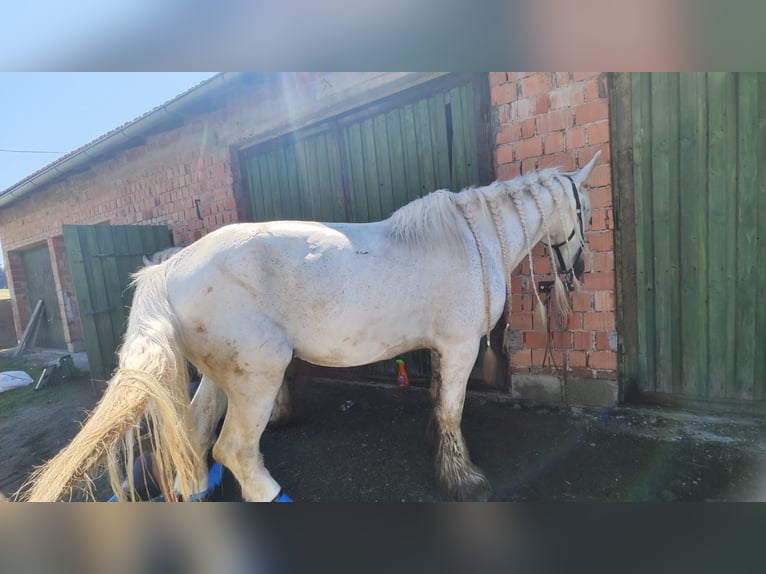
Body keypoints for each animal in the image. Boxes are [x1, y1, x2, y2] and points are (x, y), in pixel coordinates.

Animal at [20, 151, 600, 502]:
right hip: (257, 376)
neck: (468, 239)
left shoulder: (442, 349)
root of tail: (170, 267)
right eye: (586, 210)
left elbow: (439, 407)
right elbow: (452, 411)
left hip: (219, 376)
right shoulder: (459, 348)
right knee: (233, 448)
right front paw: (463, 480)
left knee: (195, 430)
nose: (579, 269)